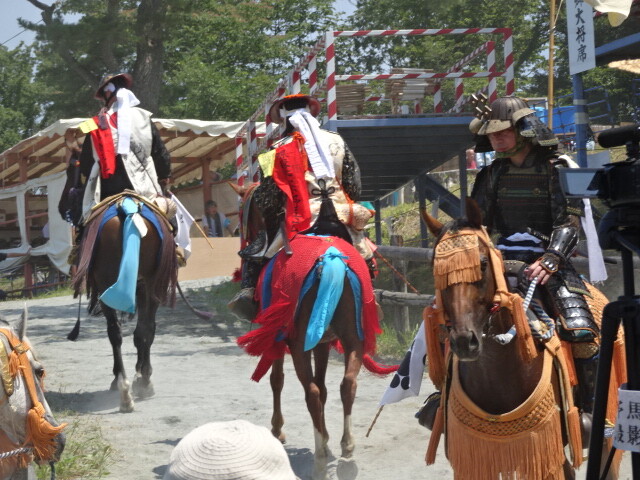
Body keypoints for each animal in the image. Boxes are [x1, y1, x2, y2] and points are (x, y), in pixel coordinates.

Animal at [71, 193, 178, 410]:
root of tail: (128, 210)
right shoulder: (145, 286)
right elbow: (144, 333)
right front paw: (142, 374)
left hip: (108, 285)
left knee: (116, 333)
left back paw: (124, 387)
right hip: (148, 283)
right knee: (142, 329)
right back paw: (141, 383)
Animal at [234, 181, 396, 480]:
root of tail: (331, 259)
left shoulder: (278, 336)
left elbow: (278, 380)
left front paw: (278, 429)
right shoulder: (322, 341)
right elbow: (324, 386)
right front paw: (329, 440)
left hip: (299, 344)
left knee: (311, 392)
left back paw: (320, 461)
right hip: (352, 338)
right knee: (347, 385)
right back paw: (346, 452)